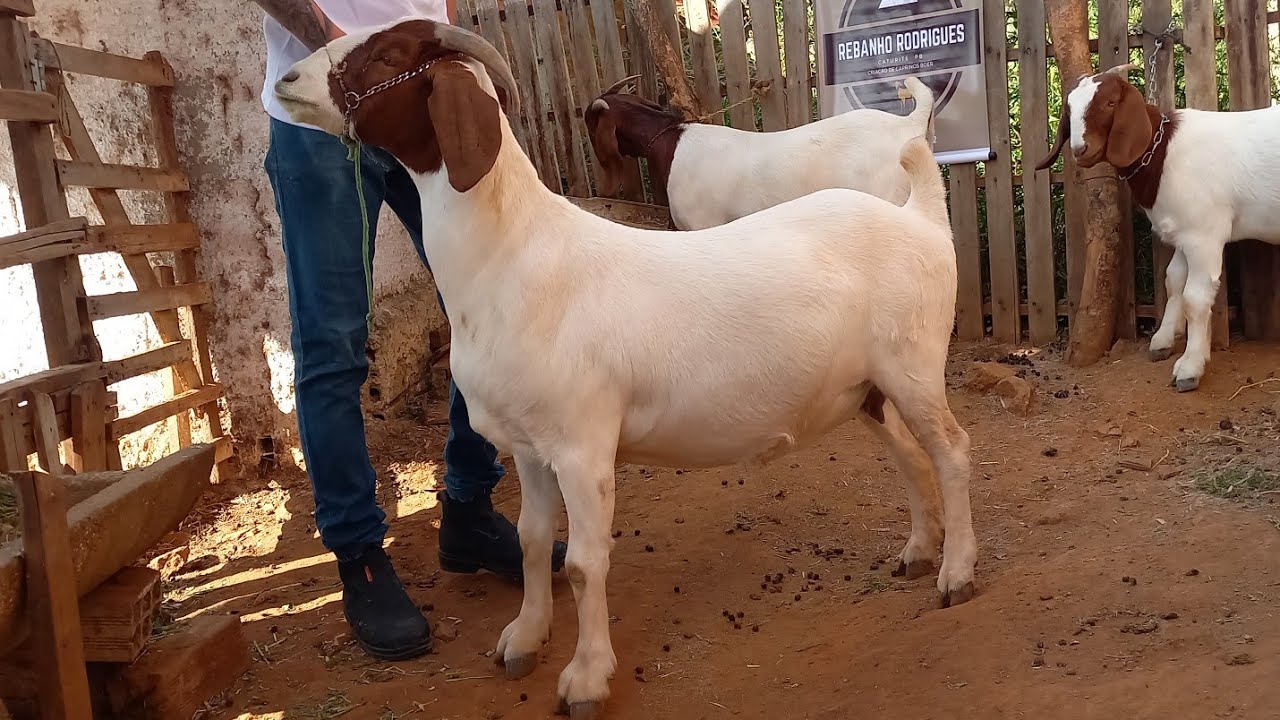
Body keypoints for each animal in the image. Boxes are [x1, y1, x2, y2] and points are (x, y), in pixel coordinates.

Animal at [1038, 65, 1280, 392]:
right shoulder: (1182, 233)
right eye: (1069, 108)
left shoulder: (1204, 236)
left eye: (1111, 102)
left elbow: (1195, 298)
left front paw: (1190, 367)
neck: (1162, 152)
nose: (1080, 149)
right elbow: (1173, 281)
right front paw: (1164, 340)